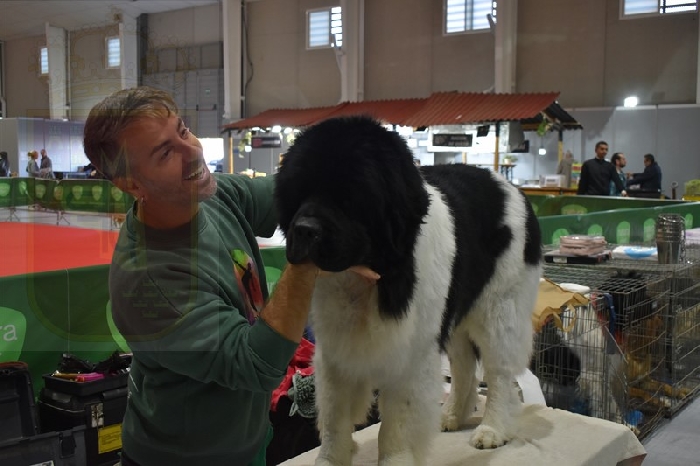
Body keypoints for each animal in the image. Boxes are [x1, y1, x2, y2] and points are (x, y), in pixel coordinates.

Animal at [274, 116, 542, 465]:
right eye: (299, 192)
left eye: (349, 197)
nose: (305, 229)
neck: (367, 279)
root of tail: (515, 190)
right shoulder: (335, 351)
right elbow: (334, 417)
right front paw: (330, 459)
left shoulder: (410, 353)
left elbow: (396, 425)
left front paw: (394, 459)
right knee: (464, 365)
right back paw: (451, 415)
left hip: (499, 310)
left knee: (499, 373)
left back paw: (492, 429)